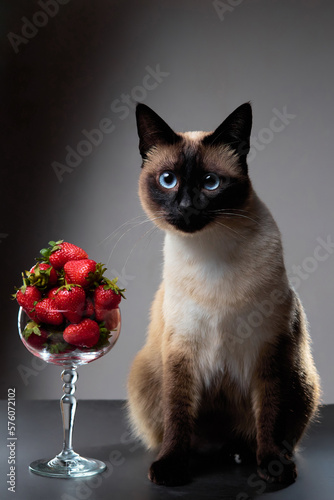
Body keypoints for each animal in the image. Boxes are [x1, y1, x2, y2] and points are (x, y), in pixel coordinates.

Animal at [126, 99, 320, 486]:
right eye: (168, 180)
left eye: (210, 183)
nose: (186, 207)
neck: (210, 253)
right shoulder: (182, 350)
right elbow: (178, 415)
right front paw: (172, 468)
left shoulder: (268, 349)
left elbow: (270, 416)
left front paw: (272, 469)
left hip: (302, 377)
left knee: (259, 432)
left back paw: (241, 453)